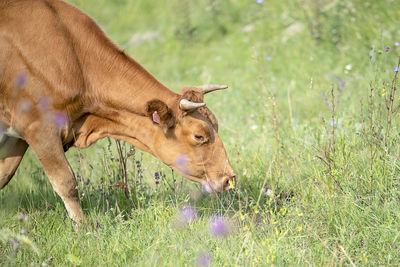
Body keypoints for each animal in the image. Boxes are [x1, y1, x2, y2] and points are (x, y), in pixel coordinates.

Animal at [0, 0, 236, 225]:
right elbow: (67, 183)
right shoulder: (39, 129)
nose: (229, 178)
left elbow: (3, 177)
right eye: (199, 135)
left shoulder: (16, 137)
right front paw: (83, 229)